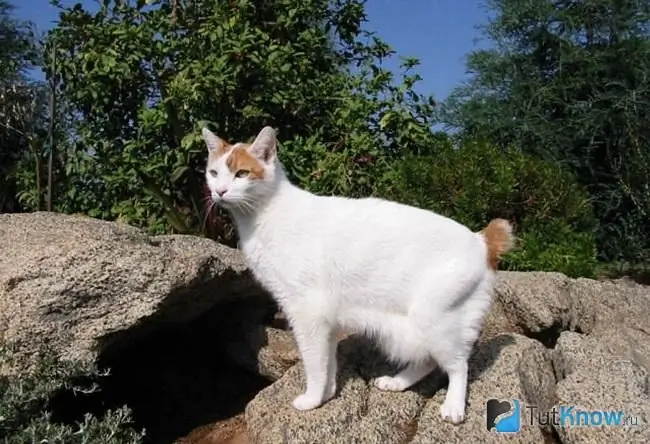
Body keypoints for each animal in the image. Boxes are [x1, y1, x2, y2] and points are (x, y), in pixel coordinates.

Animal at [200, 125, 512, 424]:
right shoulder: (326, 322)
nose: (221, 191)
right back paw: (398, 383)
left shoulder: (307, 315)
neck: (265, 214)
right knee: (430, 360)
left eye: (241, 174)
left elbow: (314, 363)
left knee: (458, 364)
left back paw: (453, 407)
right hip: (409, 329)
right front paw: (326, 396)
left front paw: (312, 400)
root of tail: (481, 239)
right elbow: (328, 363)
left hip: (433, 319)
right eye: (214, 173)